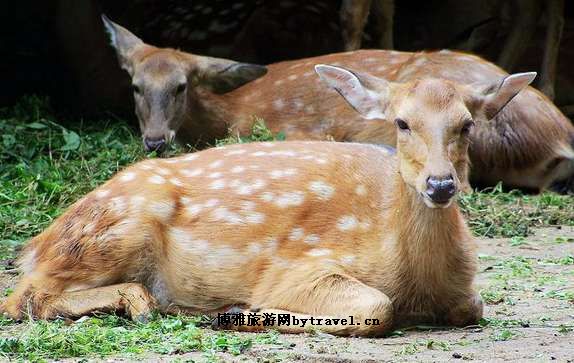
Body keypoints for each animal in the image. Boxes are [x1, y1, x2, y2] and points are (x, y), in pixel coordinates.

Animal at [1, 64, 540, 336]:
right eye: (402, 122)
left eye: (466, 125)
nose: (440, 184)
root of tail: (38, 241)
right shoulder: (297, 267)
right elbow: (377, 307)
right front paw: (241, 312)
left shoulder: (464, 294)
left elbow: (472, 306)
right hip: (117, 227)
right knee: (24, 295)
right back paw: (149, 304)